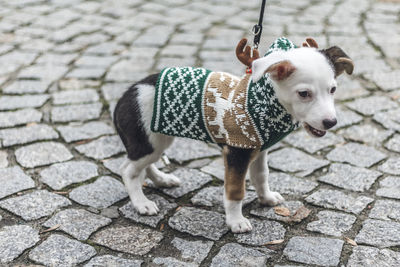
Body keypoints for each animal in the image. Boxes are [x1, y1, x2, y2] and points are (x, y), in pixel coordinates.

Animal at [113, 36, 354, 233]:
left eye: (333, 90)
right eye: (304, 94)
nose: (331, 122)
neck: (266, 103)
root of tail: (124, 96)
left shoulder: (259, 149)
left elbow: (261, 176)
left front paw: (266, 198)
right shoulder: (237, 152)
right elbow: (235, 190)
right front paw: (236, 221)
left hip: (156, 141)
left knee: (144, 165)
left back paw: (163, 180)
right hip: (147, 141)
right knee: (128, 170)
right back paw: (141, 203)